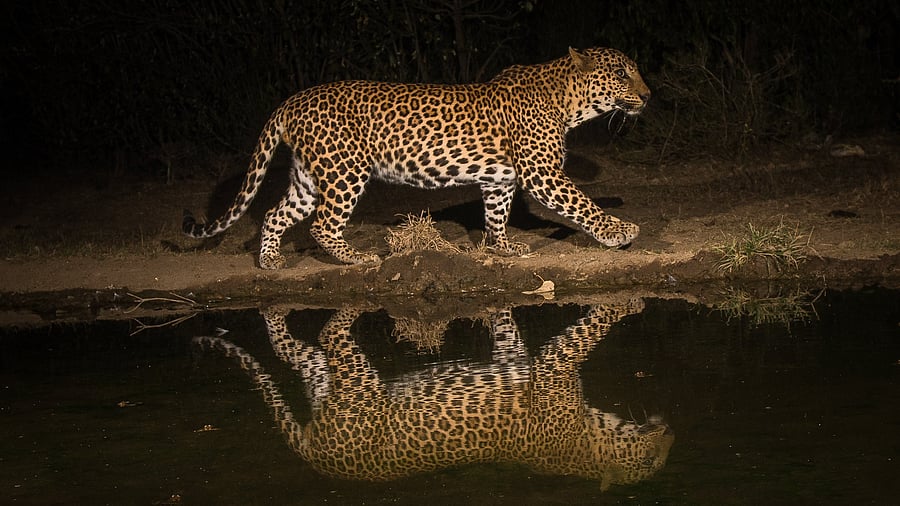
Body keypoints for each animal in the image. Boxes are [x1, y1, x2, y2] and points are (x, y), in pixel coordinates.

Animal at [183, 47, 650, 268]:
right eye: (621, 73)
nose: (647, 95)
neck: (569, 102)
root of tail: (291, 101)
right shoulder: (542, 173)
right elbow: (583, 203)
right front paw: (618, 231)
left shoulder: (500, 180)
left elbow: (496, 215)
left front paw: (502, 248)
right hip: (344, 169)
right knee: (321, 226)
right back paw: (356, 257)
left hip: (308, 176)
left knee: (275, 214)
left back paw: (269, 261)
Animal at [193, 300, 674, 491]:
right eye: (650, 462)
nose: (671, 433)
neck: (592, 443)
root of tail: (320, 460)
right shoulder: (555, 365)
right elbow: (592, 328)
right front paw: (628, 305)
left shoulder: (519, 355)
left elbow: (505, 327)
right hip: (359, 380)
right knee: (329, 331)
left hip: (327, 381)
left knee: (292, 348)